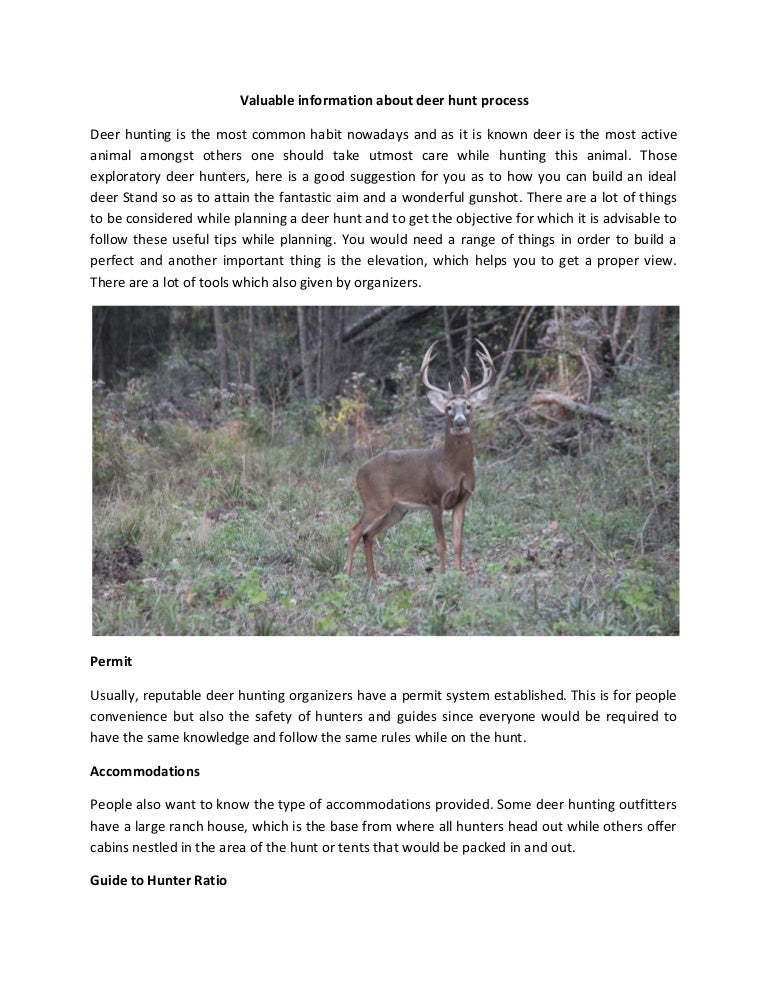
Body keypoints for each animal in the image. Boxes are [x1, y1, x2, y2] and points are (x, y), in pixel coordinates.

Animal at [344, 341, 494, 581]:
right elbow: (441, 544)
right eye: (448, 408)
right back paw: (346, 577)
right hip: (375, 500)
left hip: (397, 510)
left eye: (469, 406)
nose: (460, 420)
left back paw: (374, 580)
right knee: (355, 530)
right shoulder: (435, 498)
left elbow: (458, 544)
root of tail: (358, 472)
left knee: (369, 535)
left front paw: (459, 576)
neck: (453, 468)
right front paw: (442, 576)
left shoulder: (463, 500)